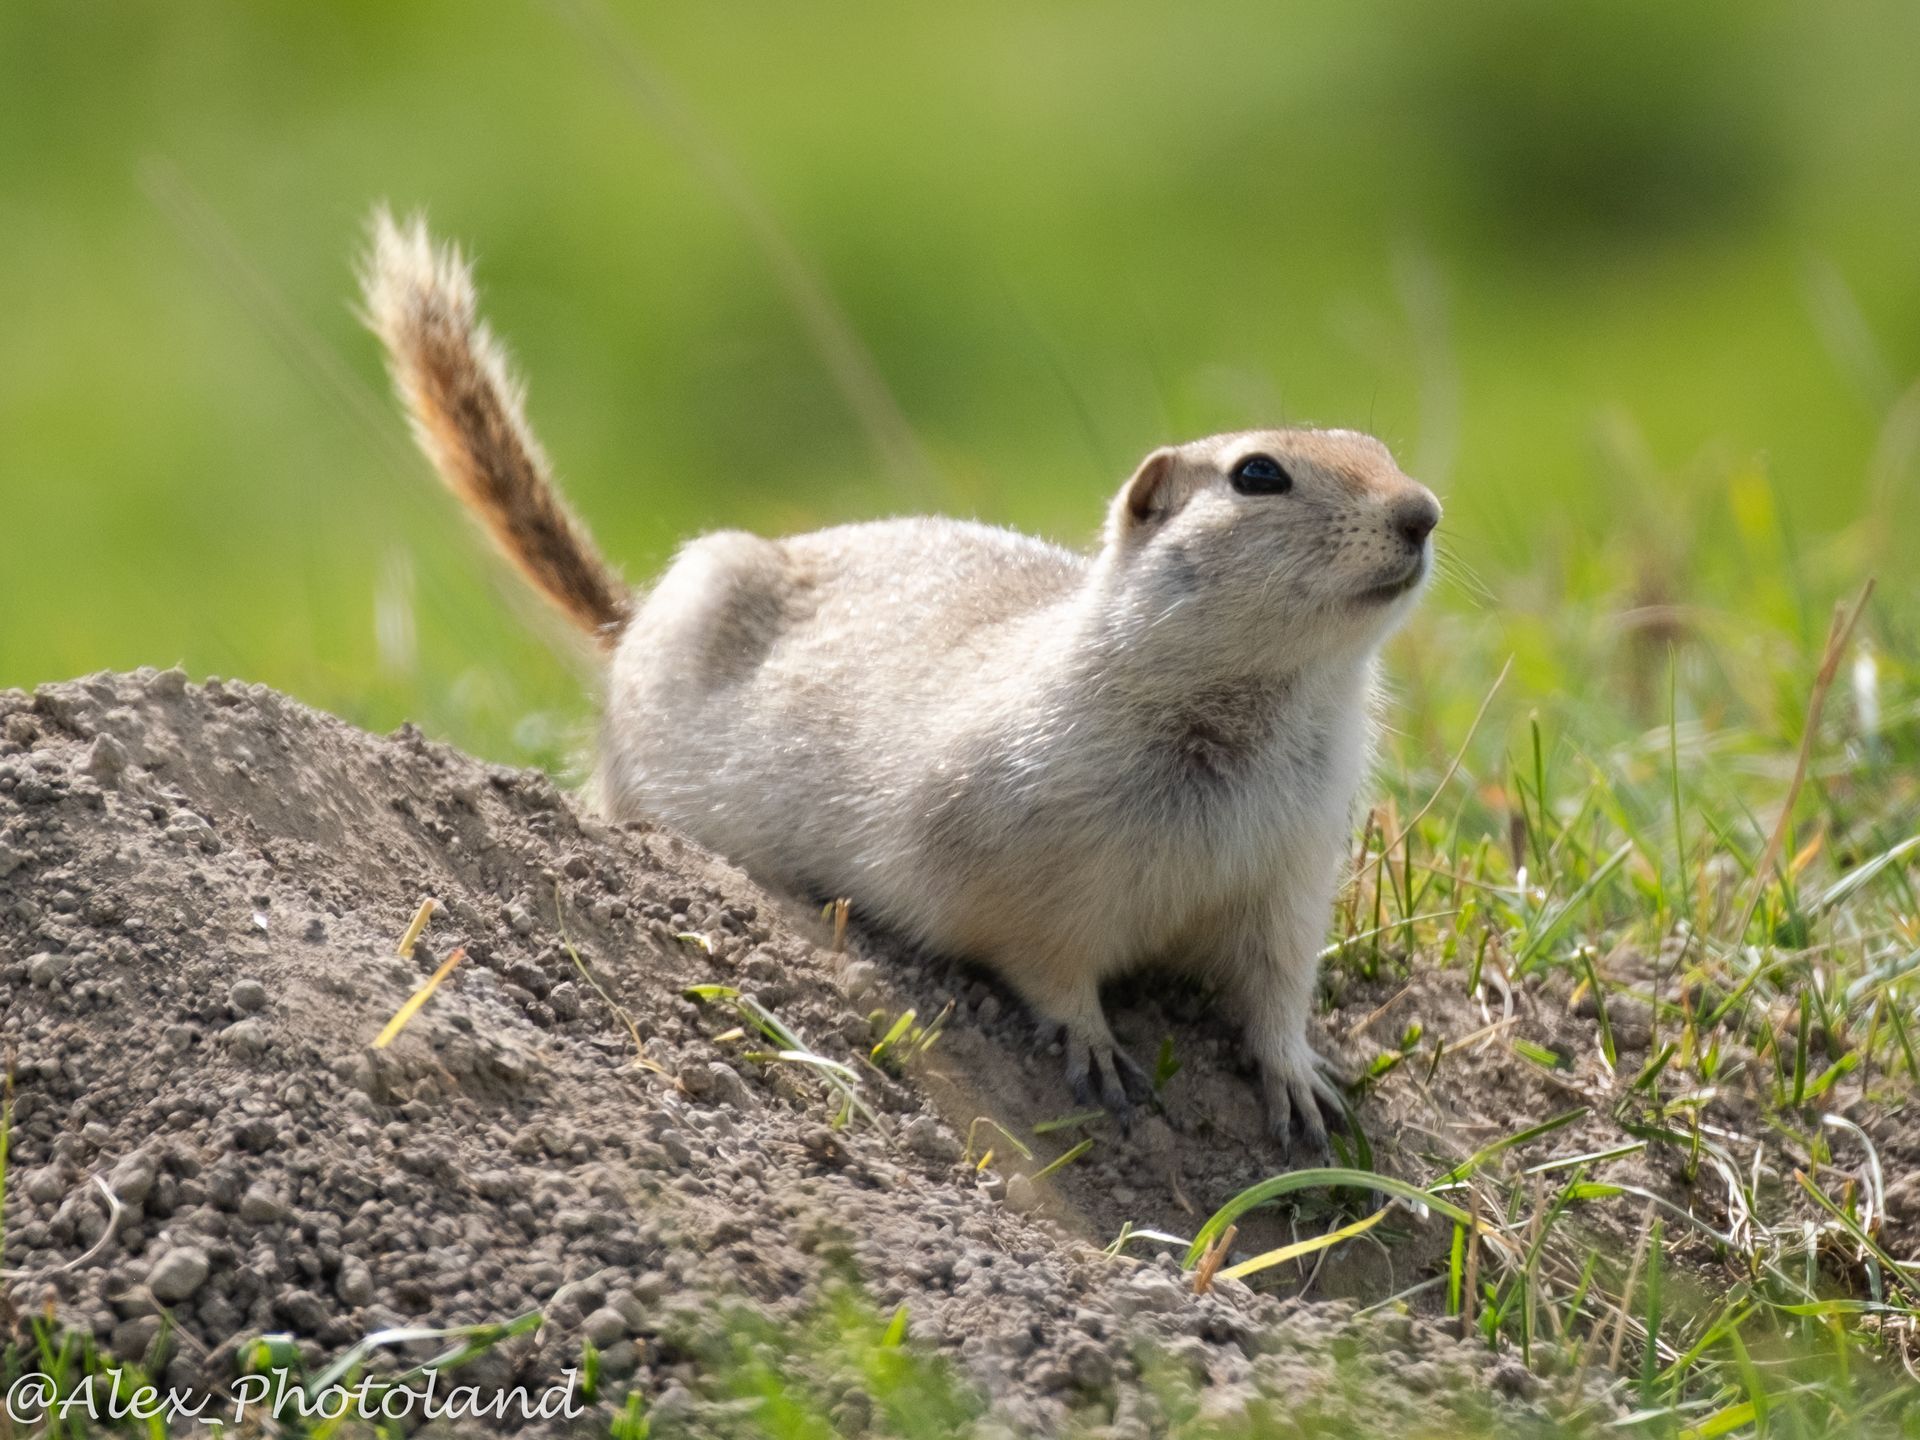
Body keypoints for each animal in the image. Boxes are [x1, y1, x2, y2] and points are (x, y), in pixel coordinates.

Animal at [362, 211, 1440, 1156]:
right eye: (1258, 474)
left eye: (1381, 450)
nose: (1424, 511)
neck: (1262, 705)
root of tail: (624, 625)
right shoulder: (1023, 854)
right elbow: (1045, 959)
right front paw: (1094, 1049)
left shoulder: (1292, 867)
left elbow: (1278, 984)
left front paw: (1301, 1082)